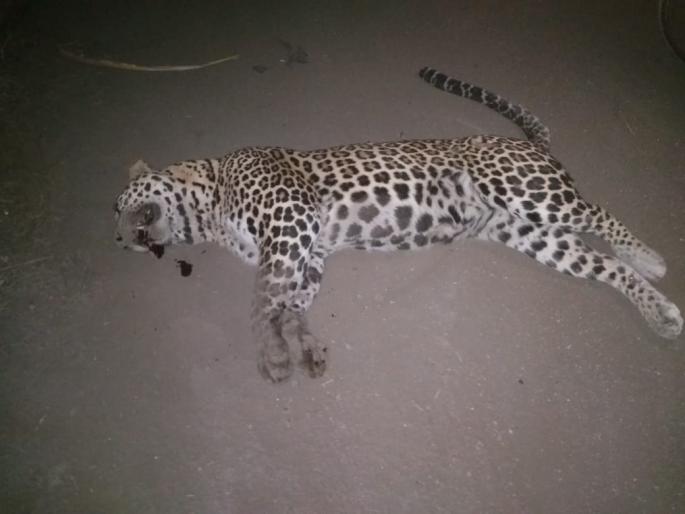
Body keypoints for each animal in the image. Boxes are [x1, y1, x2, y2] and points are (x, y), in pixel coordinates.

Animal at [114, 67, 683, 382]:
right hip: (530, 233)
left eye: (119, 204)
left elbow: (262, 301)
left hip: (528, 191)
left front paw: (271, 356)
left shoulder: (290, 224)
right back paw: (660, 313)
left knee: (599, 214)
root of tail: (525, 142)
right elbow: (293, 304)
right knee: (604, 266)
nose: (119, 241)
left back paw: (649, 258)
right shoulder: (307, 251)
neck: (209, 202)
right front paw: (304, 346)